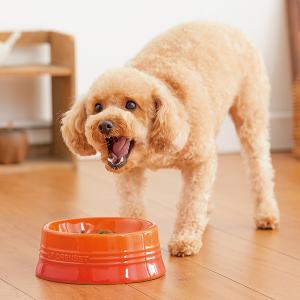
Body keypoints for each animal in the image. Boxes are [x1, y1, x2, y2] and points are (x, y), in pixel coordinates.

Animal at [60, 21, 278, 255]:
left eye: (131, 105)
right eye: (98, 107)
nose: (104, 124)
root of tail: (228, 27)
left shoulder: (199, 161)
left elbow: (191, 202)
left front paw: (185, 239)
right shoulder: (131, 172)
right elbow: (131, 201)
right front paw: (131, 229)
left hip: (251, 116)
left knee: (260, 169)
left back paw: (266, 214)